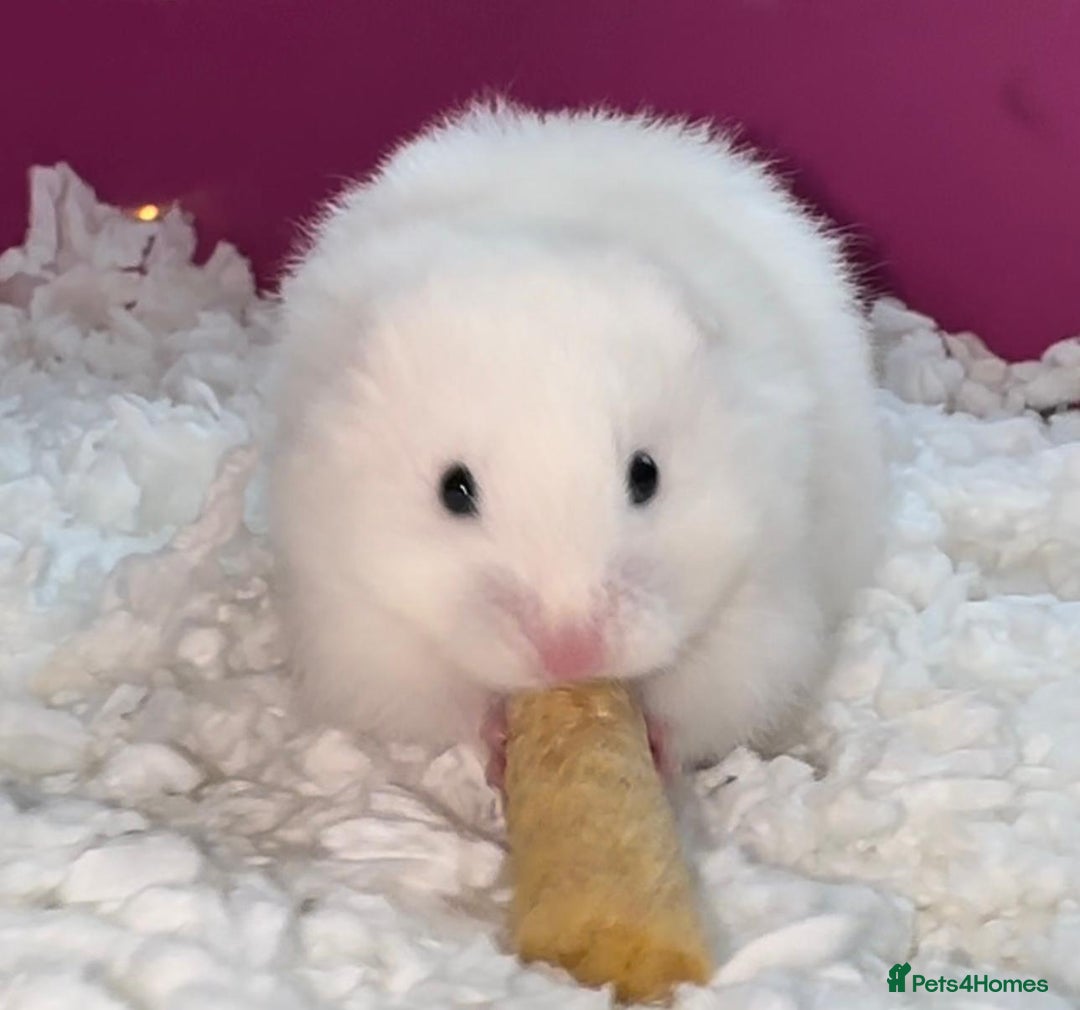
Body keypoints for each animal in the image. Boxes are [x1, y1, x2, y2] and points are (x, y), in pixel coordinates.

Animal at [268, 99, 885, 776]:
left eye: (646, 475)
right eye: (453, 490)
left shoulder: (763, 599)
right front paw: (499, 741)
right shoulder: (359, 625)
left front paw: (653, 742)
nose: (571, 652)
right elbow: (440, 698)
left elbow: (707, 697)